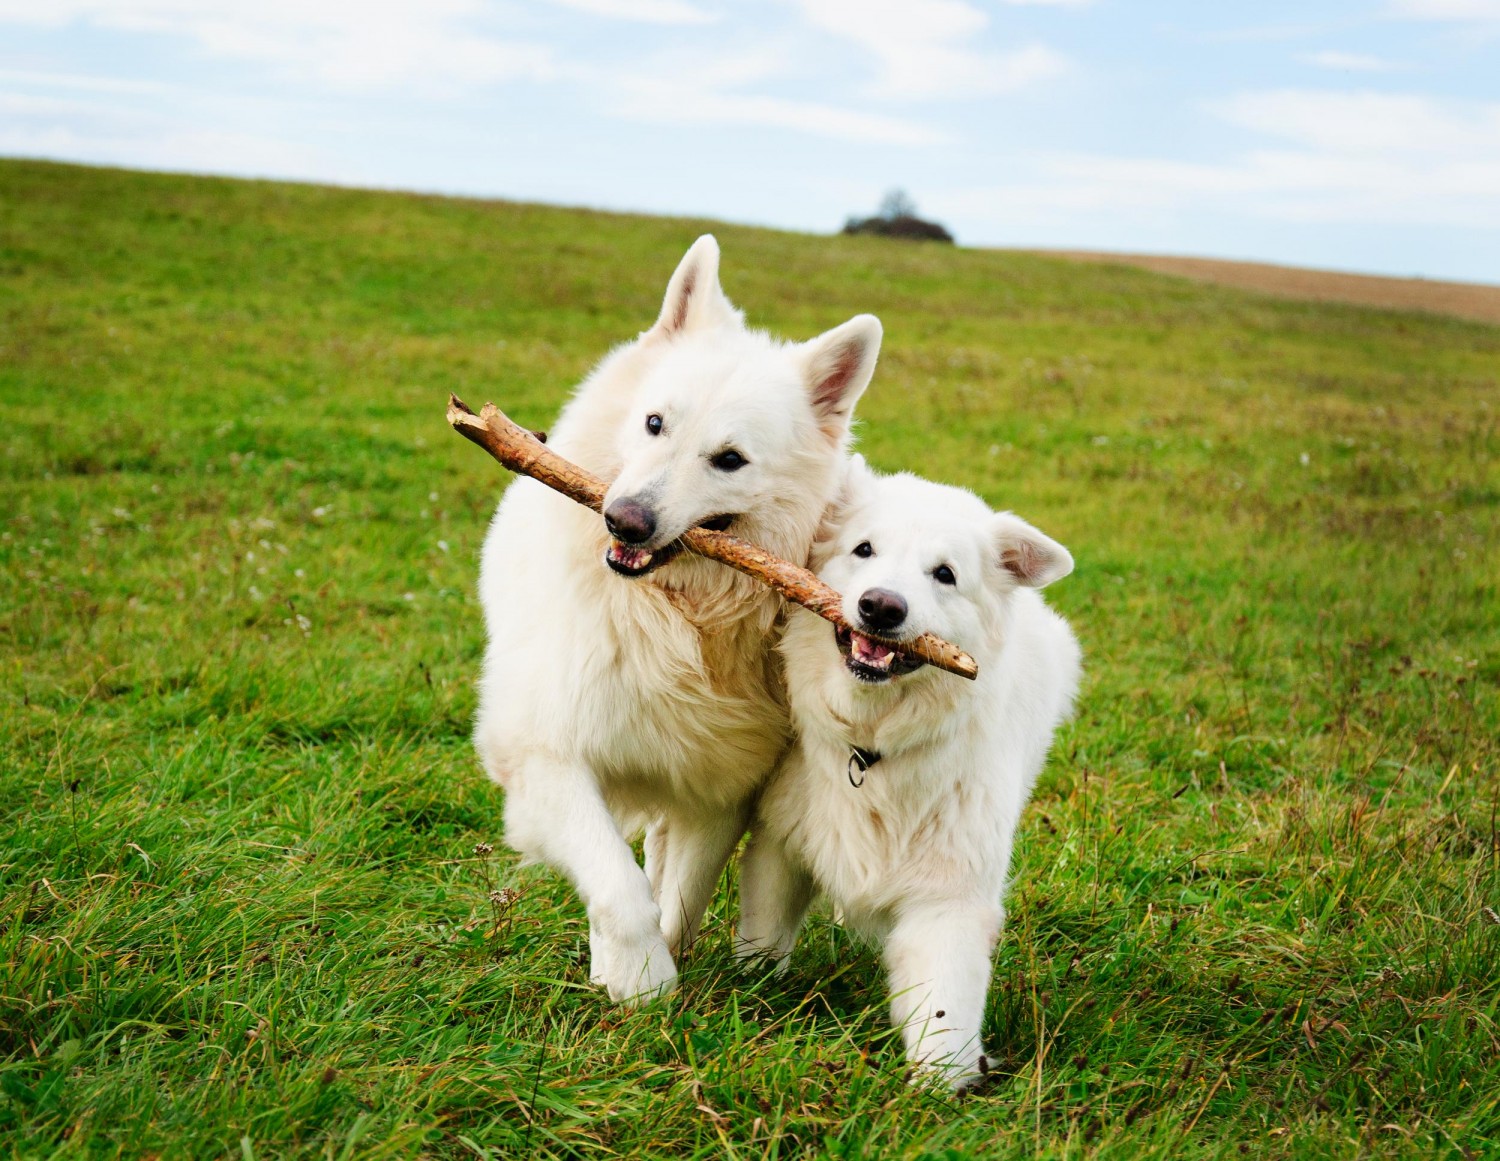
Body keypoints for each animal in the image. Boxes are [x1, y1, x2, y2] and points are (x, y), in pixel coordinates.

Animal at [474, 238, 876, 1008]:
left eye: (729, 460)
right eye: (655, 424)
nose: (623, 520)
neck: (673, 614)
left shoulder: (718, 788)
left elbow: (679, 896)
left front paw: (652, 974)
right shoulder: (545, 755)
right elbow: (617, 880)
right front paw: (639, 980)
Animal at [735, 462, 1080, 1092]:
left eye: (944, 574)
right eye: (863, 550)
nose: (881, 607)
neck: (872, 746)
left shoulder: (949, 900)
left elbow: (944, 1008)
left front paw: (940, 1092)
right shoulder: (781, 845)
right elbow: (765, 937)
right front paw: (750, 991)